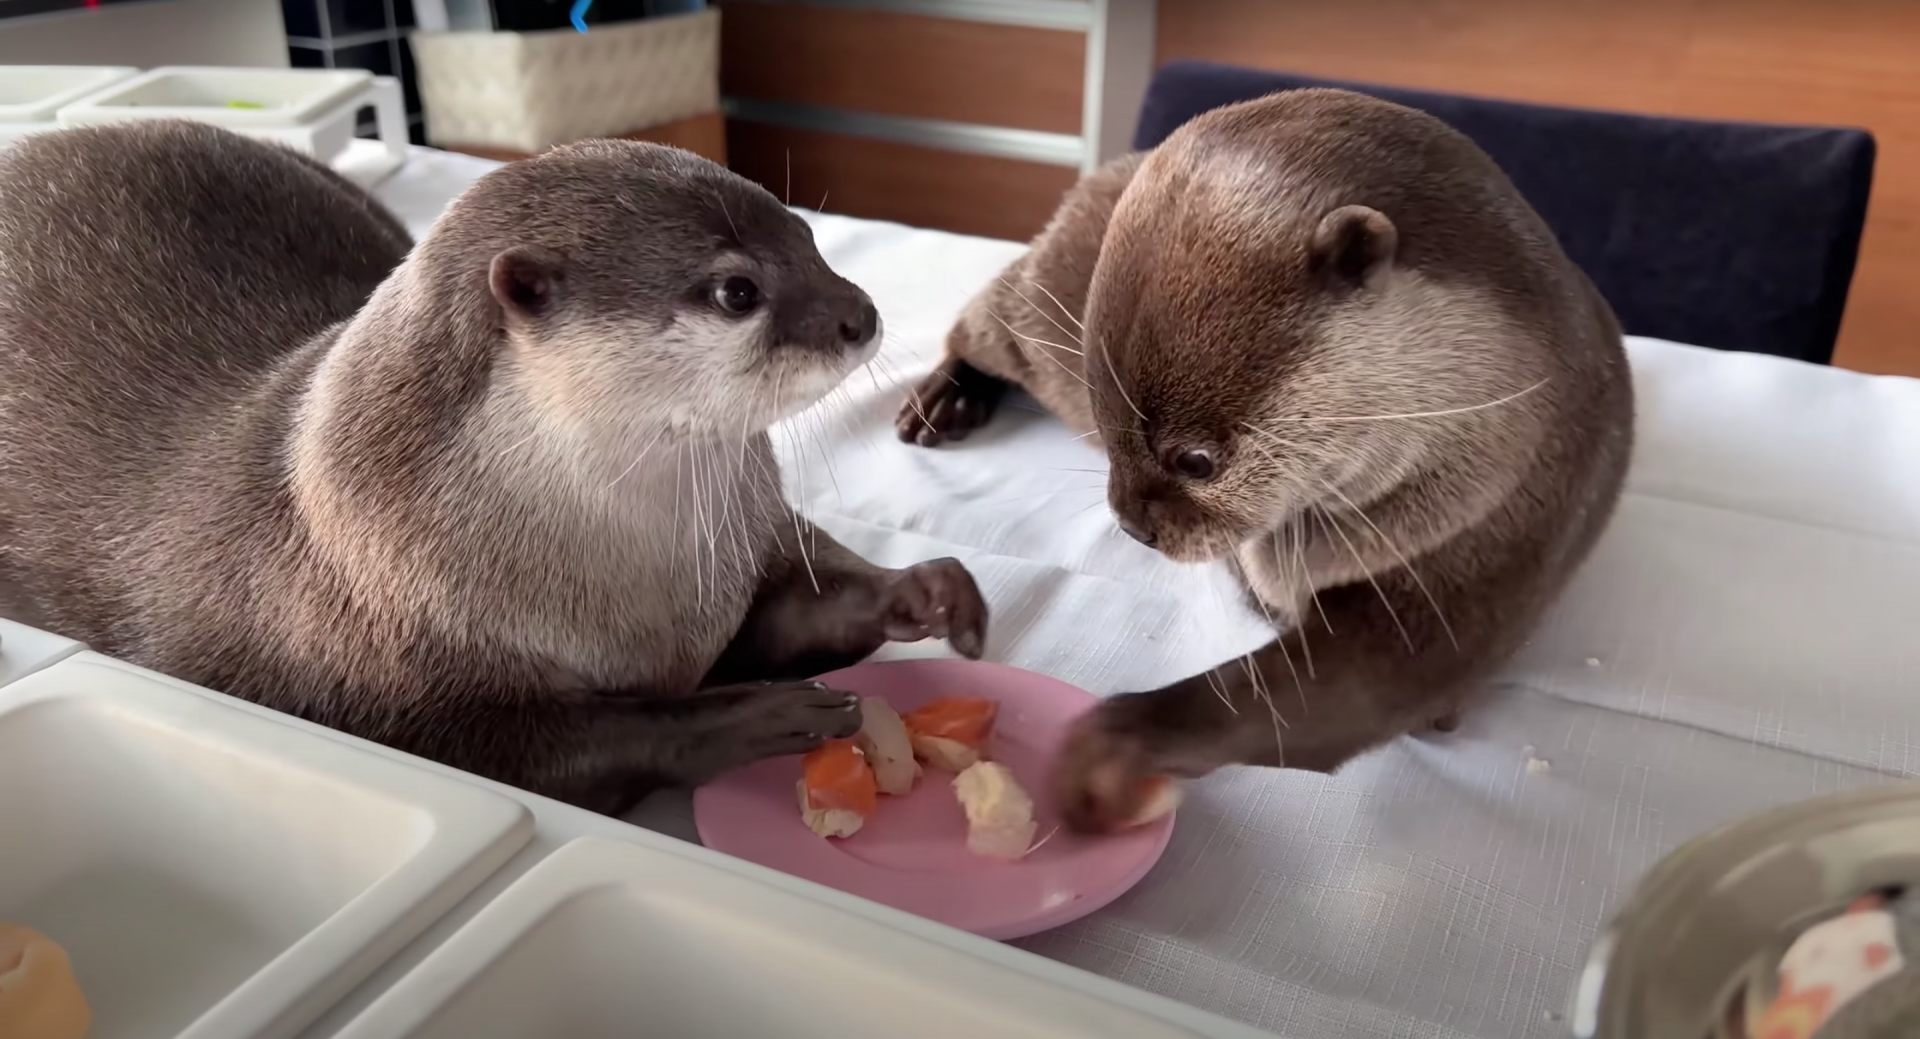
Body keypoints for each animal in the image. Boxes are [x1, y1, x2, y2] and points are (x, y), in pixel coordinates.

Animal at [0, 121, 990, 814]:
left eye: (810, 238)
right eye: (737, 290)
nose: (862, 314)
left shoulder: (737, 554)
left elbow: (793, 607)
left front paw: (922, 590)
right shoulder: (386, 696)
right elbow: (545, 748)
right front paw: (751, 713)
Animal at [898, 91, 1635, 833]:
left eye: (1196, 460)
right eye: (1107, 428)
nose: (1134, 528)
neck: (1501, 428)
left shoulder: (1494, 546)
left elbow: (1354, 686)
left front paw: (1116, 748)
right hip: (1032, 300)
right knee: (977, 323)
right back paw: (942, 402)